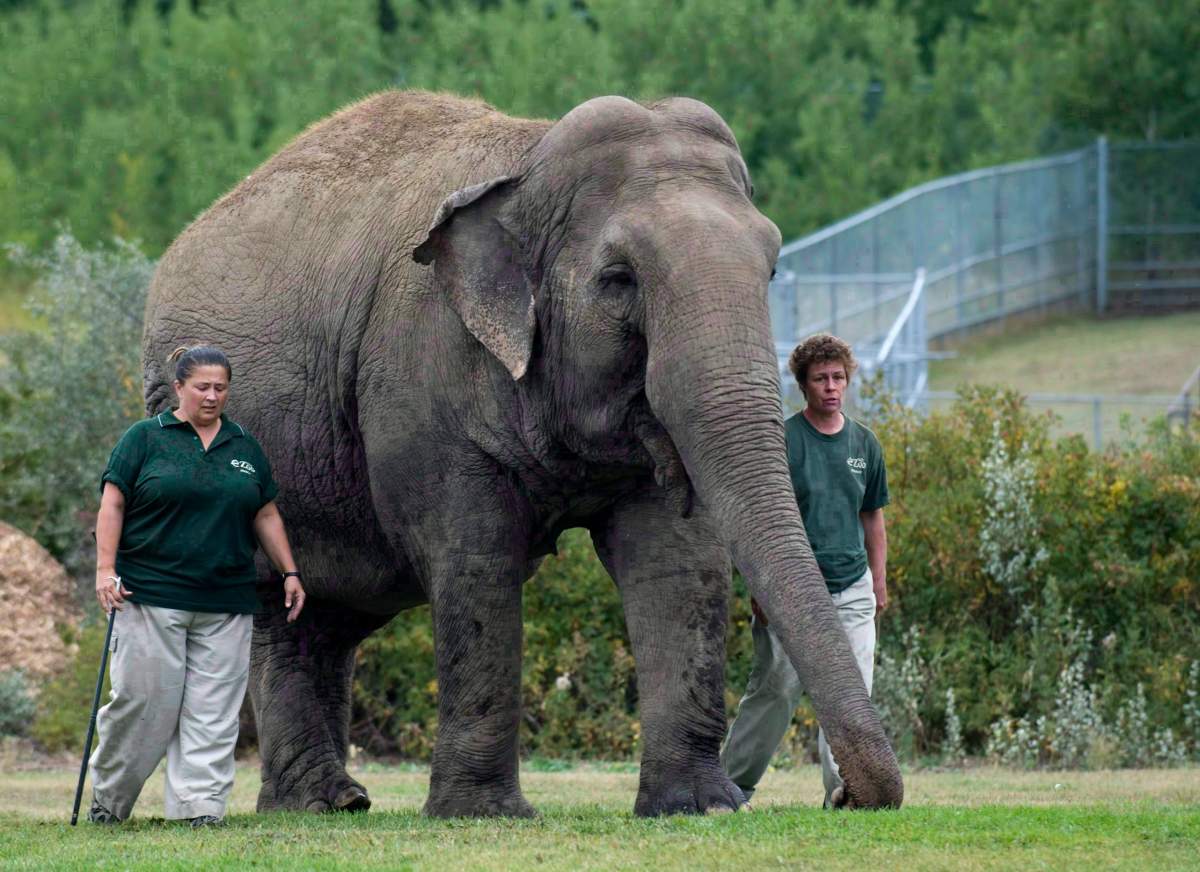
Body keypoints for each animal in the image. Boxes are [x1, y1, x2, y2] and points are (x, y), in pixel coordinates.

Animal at [141, 90, 903, 817]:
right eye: (619, 279)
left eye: (772, 267)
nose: (852, 797)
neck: (528, 161)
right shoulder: (424, 374)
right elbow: (478, 560)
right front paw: (481, 814)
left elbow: (679, 562)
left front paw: (700, 806)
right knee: (281, 604)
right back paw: (320, 802)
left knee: (323, 618)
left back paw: (331, 802)